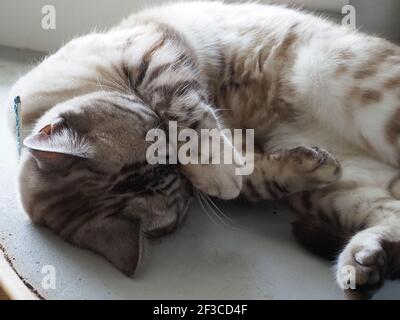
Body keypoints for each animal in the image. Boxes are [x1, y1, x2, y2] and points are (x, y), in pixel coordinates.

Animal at [4, 1, 400, 298]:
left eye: (155, 137)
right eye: (179, 194)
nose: (178, 170)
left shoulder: (150, 47)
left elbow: (183, 109)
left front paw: (213, 167)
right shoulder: (249, 156)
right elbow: (255, 176)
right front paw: (289, 168)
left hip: (348, 86)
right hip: (338, 192)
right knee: (390, 216)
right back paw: (363, 265)